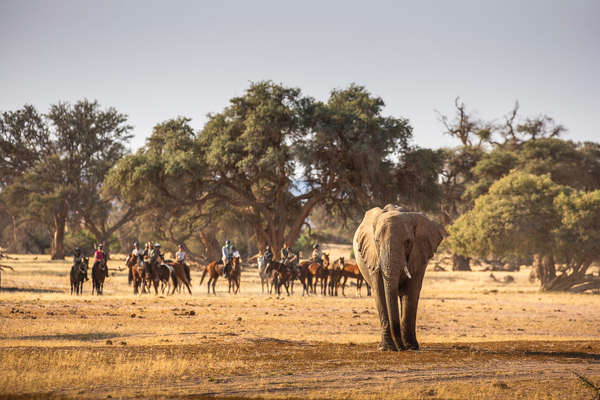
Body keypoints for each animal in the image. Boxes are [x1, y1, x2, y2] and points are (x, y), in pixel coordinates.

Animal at [352, 205, 446, 352]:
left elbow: (411, 292)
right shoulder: (373, 255)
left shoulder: (419, 254)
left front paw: (411, 347)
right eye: (377, 241)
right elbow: (380, 293)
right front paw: (386, 348)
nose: (400, 348)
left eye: (408, 242)